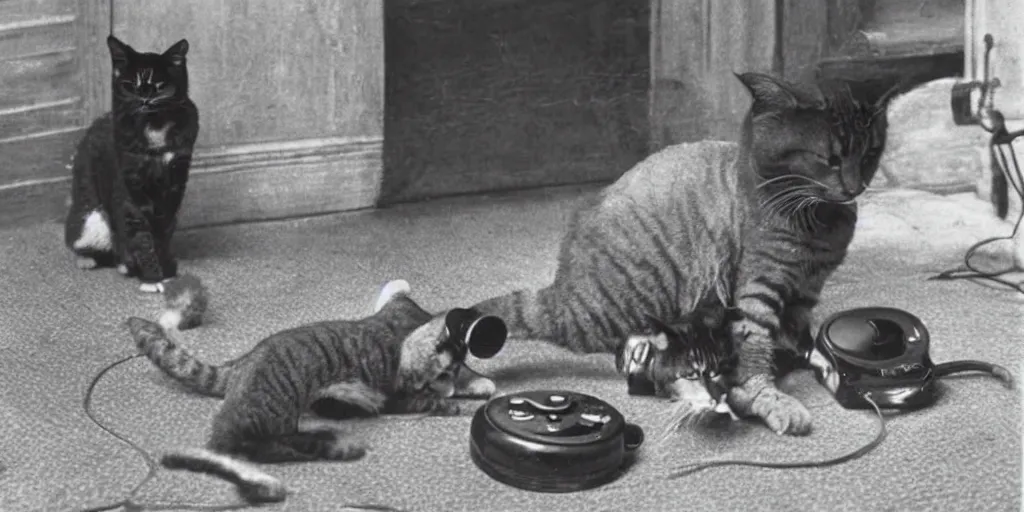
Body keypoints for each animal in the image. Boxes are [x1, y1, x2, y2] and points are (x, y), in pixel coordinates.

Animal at [66, 35, 199, 292]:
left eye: (160, 85)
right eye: (130, 84)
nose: (145, 97)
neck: (155, 126)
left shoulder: (176, 179)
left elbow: (164, 231)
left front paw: (167, 271)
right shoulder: (130, 183)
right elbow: (140, 234)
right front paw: (151, 278)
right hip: (89, 215)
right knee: (80, 239)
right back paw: (90, 260)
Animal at [129, 278, 499, 501]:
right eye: (442, 374)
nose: (447, 388)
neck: (401, 337)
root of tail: (243, 364)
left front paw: (471, 383)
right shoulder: (396, 395)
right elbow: (426, 399)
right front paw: (454, 399)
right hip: (276, 407)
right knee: (256, 447)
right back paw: (325, 446)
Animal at [462, 71, 888, 436]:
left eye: (871, 155)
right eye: (828, 159)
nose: (855, 187)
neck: (817, 221)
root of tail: (559, 291)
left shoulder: (804, 294)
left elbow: (803, 340)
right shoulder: (759, 288)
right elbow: (753, 350)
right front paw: (769, 398)